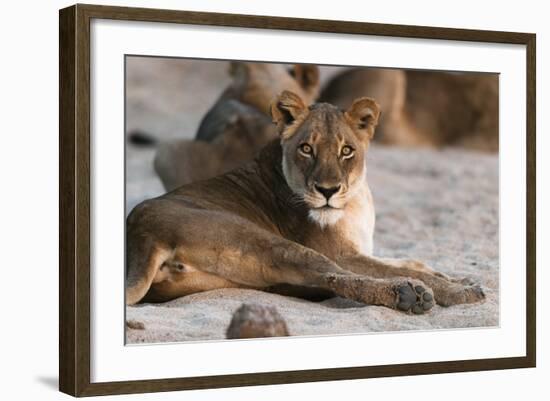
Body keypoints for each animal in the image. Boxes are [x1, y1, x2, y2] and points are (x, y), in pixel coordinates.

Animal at [126, 90, 488, 312]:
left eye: (346, 150)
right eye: (306, 148)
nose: (328, 190)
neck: (356, 200)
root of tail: (142, 234)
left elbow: (414, 261)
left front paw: (456, 278)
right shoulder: (342, 253)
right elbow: (402, 269)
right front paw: (461, 289)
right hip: (266, 241)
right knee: (332, 276)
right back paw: (409, 295)